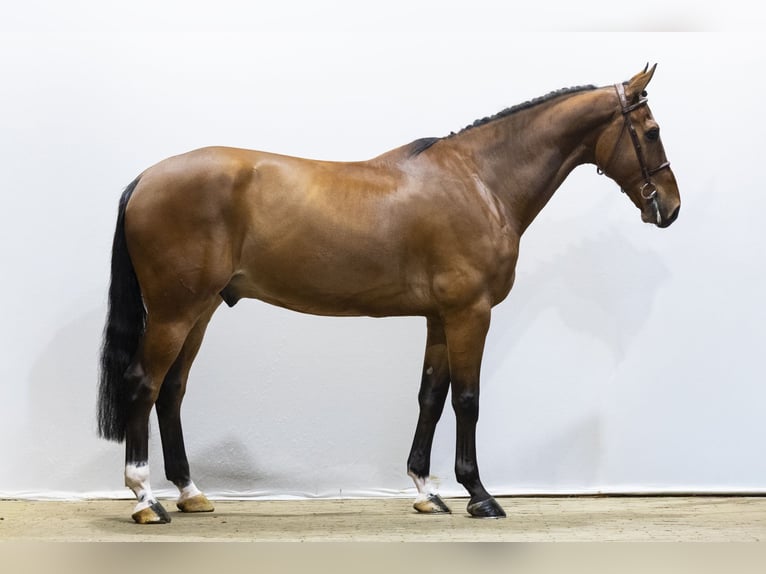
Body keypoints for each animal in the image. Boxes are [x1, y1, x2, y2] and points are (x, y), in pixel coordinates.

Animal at [98, 65, 680, 524]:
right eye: (652, 131)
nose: (670, 208)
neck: (480, 181)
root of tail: (146, 178)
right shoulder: (471, 314)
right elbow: (467, 400)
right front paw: (479, 495)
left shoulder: (440, 318)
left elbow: (431, 397)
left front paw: (426, 492)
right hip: (174, 312)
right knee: (143, 384)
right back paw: (145, 500)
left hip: (200, 312)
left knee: (171, 391)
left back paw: (190, 494)